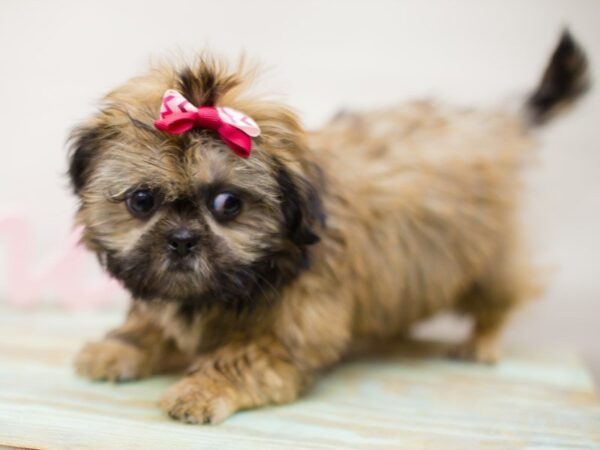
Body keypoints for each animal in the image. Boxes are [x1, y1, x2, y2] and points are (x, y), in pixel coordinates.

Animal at [71, 30, 592, 422]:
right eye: (142, 200)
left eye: (228, 204)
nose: (181, 240)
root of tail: (499, 125)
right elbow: (152, 324)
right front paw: (120, 348)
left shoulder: (292, 333)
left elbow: (242, 357)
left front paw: (200, 390)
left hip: (485, 253)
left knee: (498, 297)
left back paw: (481, 342)